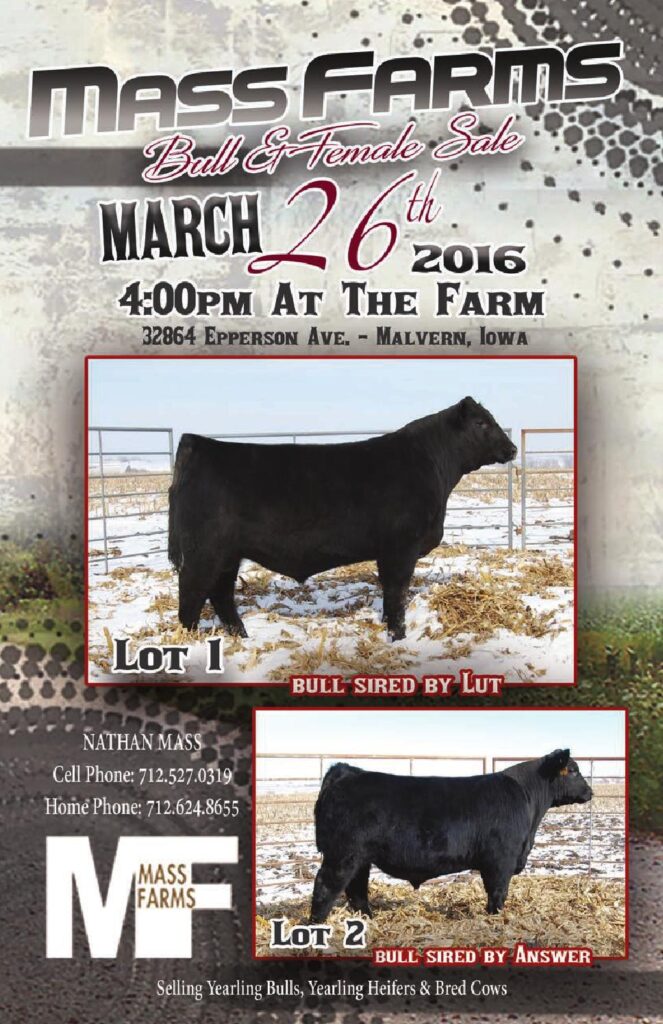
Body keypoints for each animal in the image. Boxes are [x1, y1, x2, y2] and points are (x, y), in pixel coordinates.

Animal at [168, 396, 517, 640]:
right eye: (482, 423)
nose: (512, 448)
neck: (432, 464)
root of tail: (198, 443)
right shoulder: (401, 545)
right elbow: (396, 591)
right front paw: (397, 636)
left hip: (228, 554)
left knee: (221, 594)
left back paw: (242, 636)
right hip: (203, 552)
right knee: (191, 598)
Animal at [310, 750, 592, 922]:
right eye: (573, 770)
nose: (590, 792)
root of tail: (348, 771)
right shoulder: (502, 859)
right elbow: (498, 893)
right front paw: (496, 918)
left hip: (360, 857)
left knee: (356, 889)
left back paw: (369, 918)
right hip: (343, 854)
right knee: (326, 886)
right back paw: (316, 924)